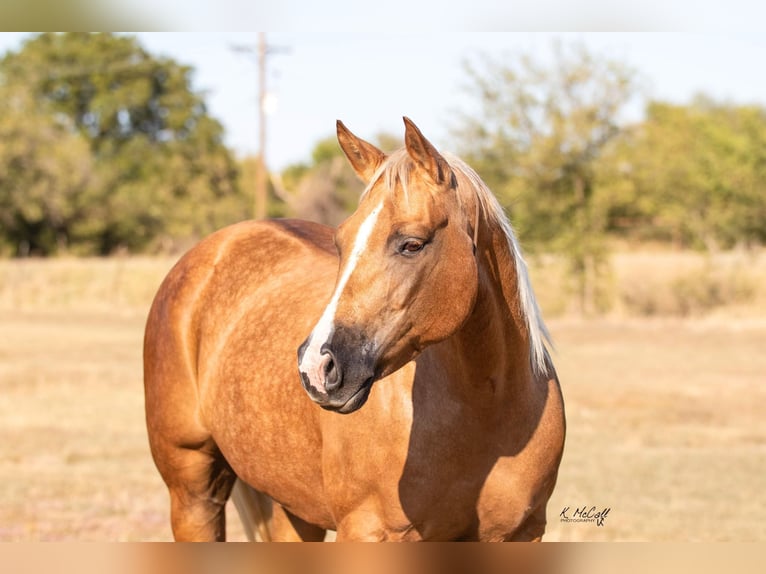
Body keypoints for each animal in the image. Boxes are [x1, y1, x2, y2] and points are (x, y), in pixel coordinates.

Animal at [144, 118, 568, 544]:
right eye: (340, 241)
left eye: (411, 244)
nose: (316, 368)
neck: (485, 414)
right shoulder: (368, 532)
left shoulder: (522, 533)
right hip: (193, 492)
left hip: (293, 510)